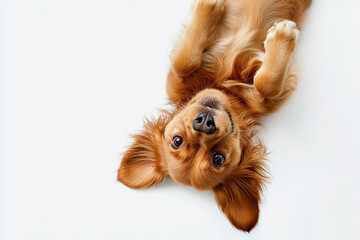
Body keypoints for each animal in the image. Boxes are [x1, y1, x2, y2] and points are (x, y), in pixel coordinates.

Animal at [116, 0, 310, 232]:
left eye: (218, 158)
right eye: (177, 141)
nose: (204, 123)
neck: (225, 86)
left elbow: (185, 63)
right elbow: (185, 63)